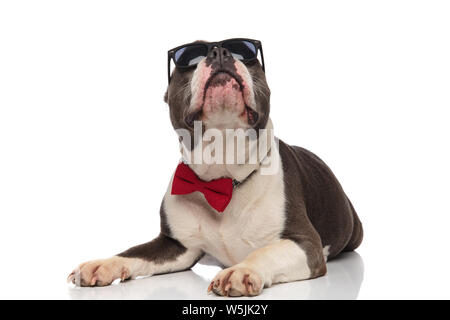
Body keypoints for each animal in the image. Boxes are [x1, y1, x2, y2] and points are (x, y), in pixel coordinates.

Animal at [68, 38, 362, 298]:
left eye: (245, 53)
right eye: (189, 57)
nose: (220, 52)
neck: (223, 177)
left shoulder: (305, 243)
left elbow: (265, 251)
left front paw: (242, 271)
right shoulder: (176, 245)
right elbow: (135, 252)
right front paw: (102, 264)